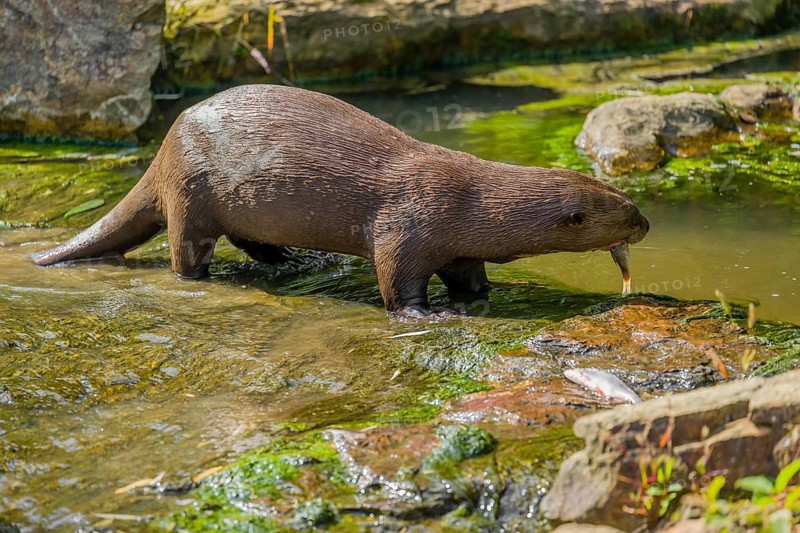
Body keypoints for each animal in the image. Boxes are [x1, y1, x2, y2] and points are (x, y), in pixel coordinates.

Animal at [32, 85, 649, 313]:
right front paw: (425, 314)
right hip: (191, 195)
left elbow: (468, 274)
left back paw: (288, 260)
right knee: (186, 255)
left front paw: (478, 298)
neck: (472, 199)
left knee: (251, 242)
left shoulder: (457, 246)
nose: (645, 224)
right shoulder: (408, 224)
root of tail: (163, 149)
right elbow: (396, 281)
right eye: (625, 211)